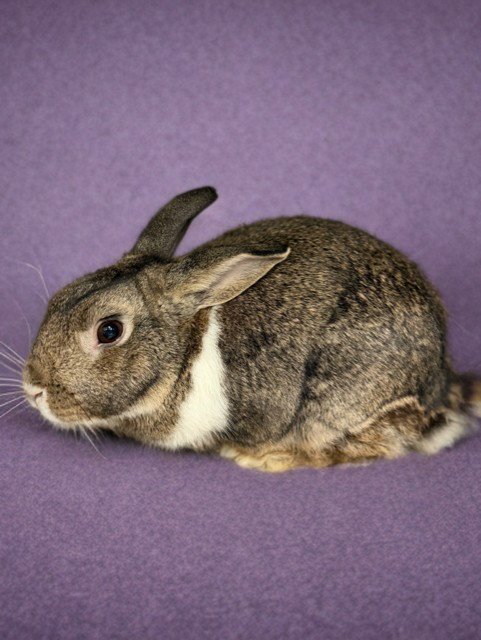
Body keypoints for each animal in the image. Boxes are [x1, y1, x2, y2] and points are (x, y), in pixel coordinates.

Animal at [22, 186, 481, 472]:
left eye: (109, 331)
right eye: (59, 297)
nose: (33, 389)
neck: (183, 353)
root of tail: (440, 381)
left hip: (342, 405)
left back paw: (268, 459)